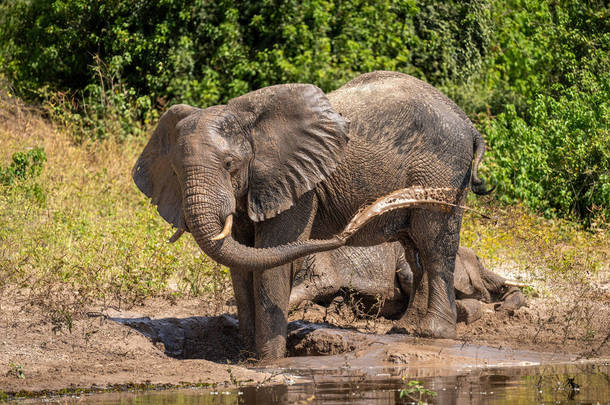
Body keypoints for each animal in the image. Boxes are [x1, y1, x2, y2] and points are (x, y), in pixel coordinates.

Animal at [132, 71, 490, 358]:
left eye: (230, 164)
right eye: (176, 172)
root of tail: (469, 125)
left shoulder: (297, 184)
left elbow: (270, 258)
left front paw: (269, 361)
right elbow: (241, 261)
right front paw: (247, 355)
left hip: (443, 171)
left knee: (434, 245)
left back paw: (433, 333)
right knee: (414, 249)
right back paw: (405, 329)